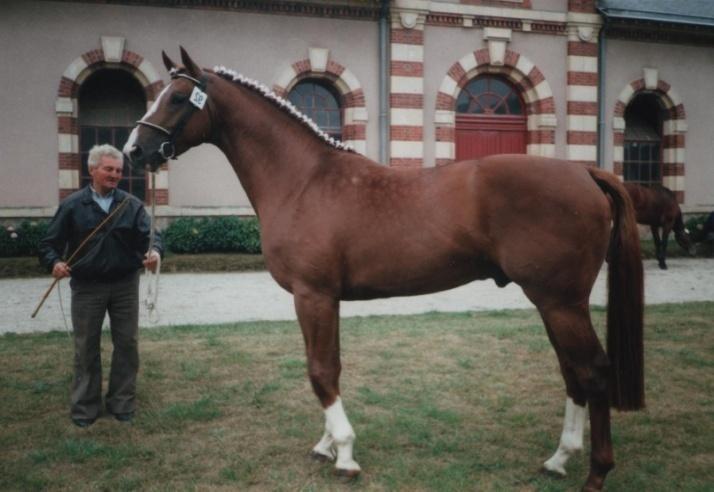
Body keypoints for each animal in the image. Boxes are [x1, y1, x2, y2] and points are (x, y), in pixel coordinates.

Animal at [124, 48, 644, 490]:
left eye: (176, 98)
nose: (133, 151)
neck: (303, 181)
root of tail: (585, 173)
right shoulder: (323, 299)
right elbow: (328, 366)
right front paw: (327, 445)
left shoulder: (313, 295)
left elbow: (321, 370)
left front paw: (345, 455)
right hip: (554, 302)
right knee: (572, 371)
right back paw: (558, 459)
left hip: (561, 303)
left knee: (594, 371)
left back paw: (596, 472)